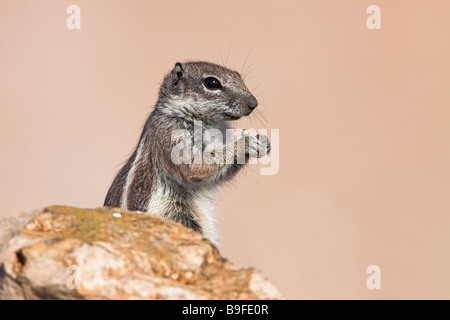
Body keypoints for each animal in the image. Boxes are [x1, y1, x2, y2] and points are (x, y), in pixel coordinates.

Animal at [103, 62, 268, 245]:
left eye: (239, 76)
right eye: (212, 83)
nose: (253, 103)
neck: (208, 123)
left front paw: (263, 143)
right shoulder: (170, 134)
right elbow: (194, 166)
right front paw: (245, 143)